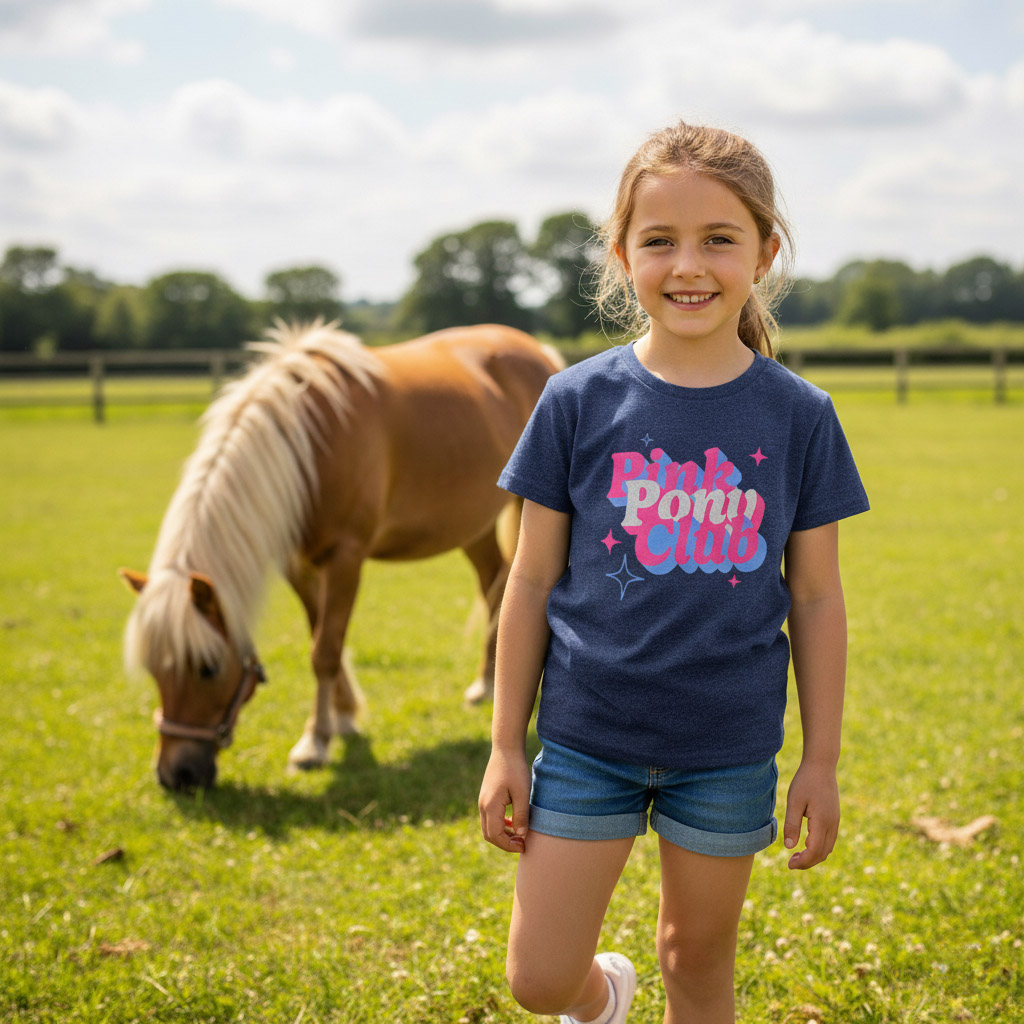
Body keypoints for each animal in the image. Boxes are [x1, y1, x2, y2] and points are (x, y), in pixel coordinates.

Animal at [120, 321, 562, 791]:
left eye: (208, 668)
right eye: (154, 669)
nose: (175, 775)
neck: (307, 444)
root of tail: (538, 350)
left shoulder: (345, 558)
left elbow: (326, 650)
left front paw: (314, 743)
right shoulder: (298, 565)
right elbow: (321, 635)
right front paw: (343, 718)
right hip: (471, 526)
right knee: (494, 585)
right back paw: (486, 685)